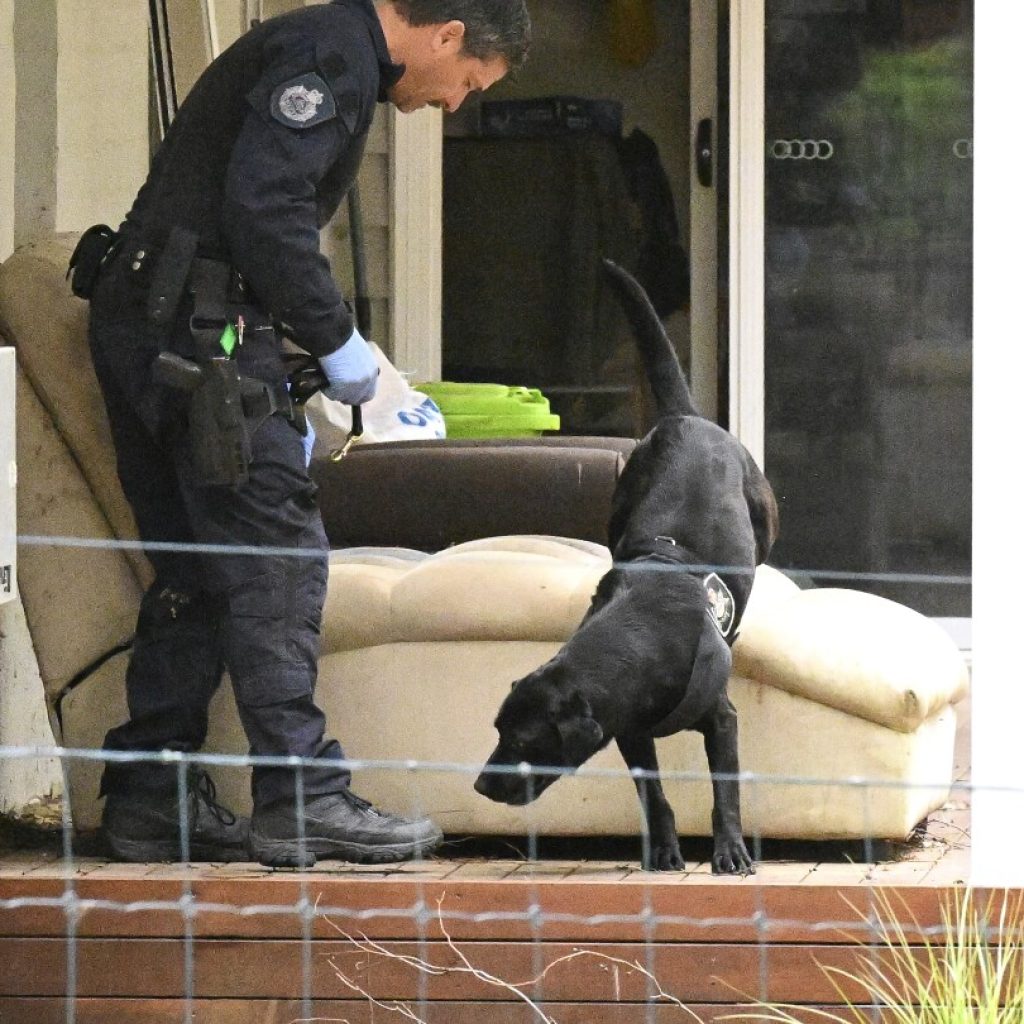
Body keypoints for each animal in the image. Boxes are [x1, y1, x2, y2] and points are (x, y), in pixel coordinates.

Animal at [471, 258, 774, 872]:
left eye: (523, 742)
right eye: (497, 729)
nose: (480, 786)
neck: (642, 639)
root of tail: (685, 417)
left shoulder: (722, 718)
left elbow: (725, 790)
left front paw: (730, 851)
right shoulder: (629, 731)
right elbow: (654, 795)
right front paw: (663, 850)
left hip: (766, 514)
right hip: (617, 508)